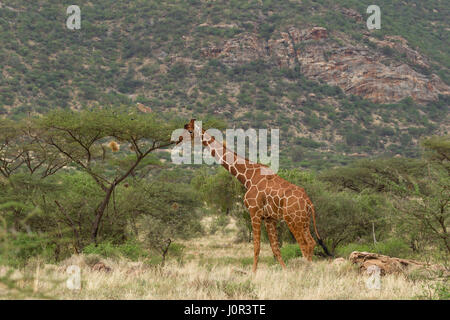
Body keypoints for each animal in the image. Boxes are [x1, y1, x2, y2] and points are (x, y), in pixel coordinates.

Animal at [179, 119, 330, 272]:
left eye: (190, 130)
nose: (178, 139)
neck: (248, 177)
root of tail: (309, 202)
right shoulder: (269, 218)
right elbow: (275, 248)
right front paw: (285, 271)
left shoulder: (254, 212)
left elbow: (256, 246)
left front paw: (253, 273)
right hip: (304, 221)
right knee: (311, 242)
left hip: (292, 220)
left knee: (304, 244)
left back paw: (304, 270)